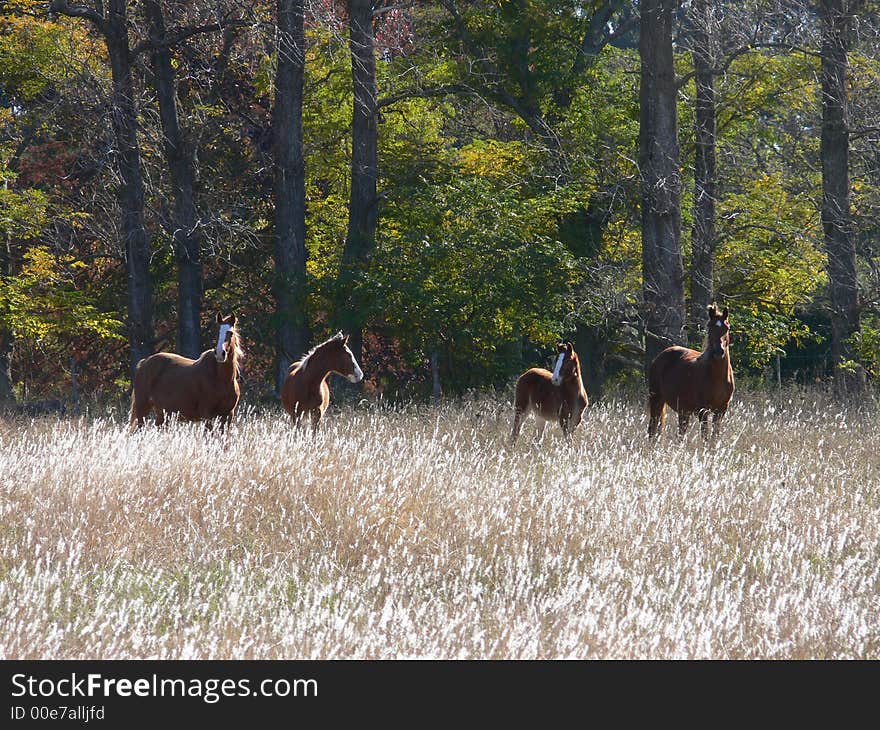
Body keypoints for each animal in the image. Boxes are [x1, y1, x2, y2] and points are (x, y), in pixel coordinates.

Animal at [648, 302, 736, 438]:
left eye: (727, 328)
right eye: (709, 327)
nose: (718, 351)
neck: (717, 376)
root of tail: (661, 356)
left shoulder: (721, 410)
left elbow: (714, 437)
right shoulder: (703, 410)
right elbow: (705, 436)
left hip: (683, 411)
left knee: (680, 434)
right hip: (657, 400)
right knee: (653, 429)